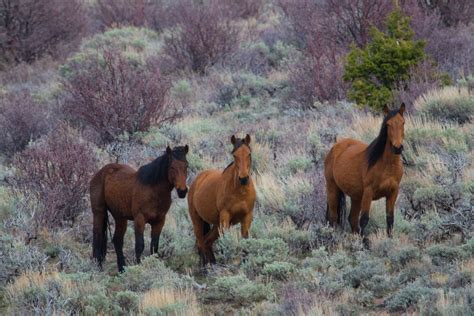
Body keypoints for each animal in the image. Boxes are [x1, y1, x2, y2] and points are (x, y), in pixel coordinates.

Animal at [324, 104, 406, 237]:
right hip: (332, 188)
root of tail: (335, 147)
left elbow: (390, 219)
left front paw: (390, 239)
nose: (397, 148)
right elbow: (364, 219)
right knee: (333, 217)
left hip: (356, 196)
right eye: (388, 124)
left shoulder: (393, 192)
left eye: (403, 123)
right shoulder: (368, 192)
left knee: (352, 219)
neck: (387, 166)